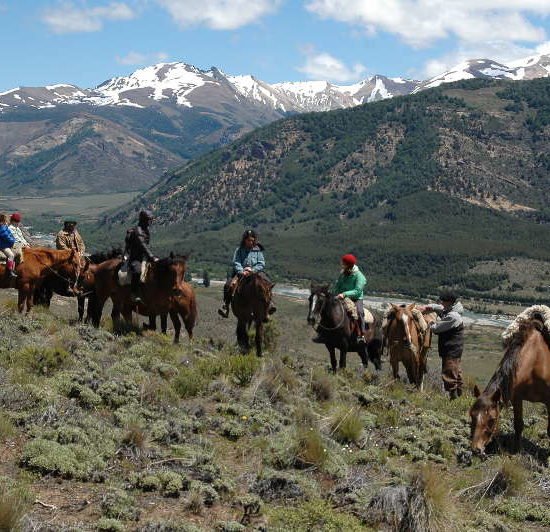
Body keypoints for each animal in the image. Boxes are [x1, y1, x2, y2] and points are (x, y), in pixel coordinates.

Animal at [470, 310, 550, 456]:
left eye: (491, 419)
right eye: (472, 414)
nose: (476, 449)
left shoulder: (549, 401)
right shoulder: (517, 398)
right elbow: (518, 424)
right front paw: (516, 450)